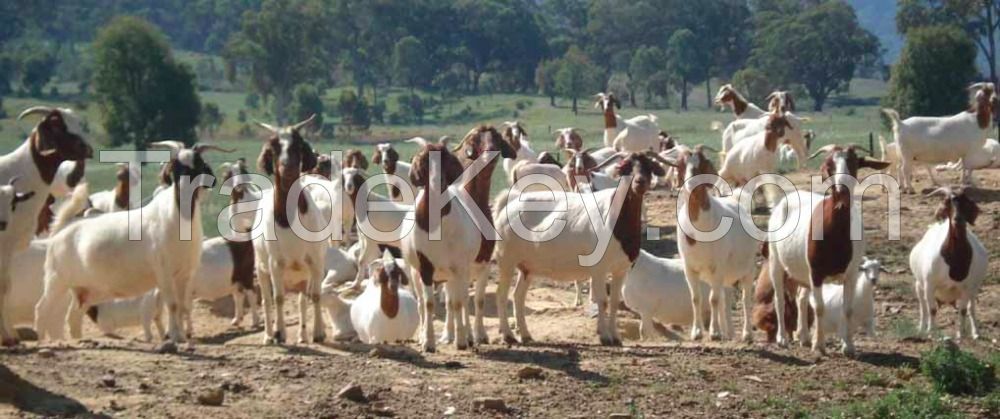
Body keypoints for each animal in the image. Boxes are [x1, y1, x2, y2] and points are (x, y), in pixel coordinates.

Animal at [0, 106, 93, 346]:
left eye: (78, 123)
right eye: (57, 125)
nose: (87, 149)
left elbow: (7, 286)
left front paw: (10, 334)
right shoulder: (5, 241)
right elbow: (4, 285)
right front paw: (7, 337)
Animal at [492, 153, 664, 346]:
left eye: (649, 166)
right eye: (626, 166)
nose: (640, 182)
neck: (617, 220)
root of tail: (508, 203)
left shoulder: (621, 269)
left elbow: (614, 302)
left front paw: (616, 337)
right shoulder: (599, 269)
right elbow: (602, 301)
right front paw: (605, 336)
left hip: (527, 267)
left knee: (518, 296)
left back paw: (526, 334)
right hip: (506, 260)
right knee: (501, 294)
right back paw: (508, 335)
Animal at [764, 144, 892, 354]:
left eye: (853, 162)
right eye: (828, 165)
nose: (841, 189)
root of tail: (784, 200)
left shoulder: (851, 273)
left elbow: (847, 308)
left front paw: (848, 345)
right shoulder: (816, 272)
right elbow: (819, 307)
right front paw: (819, 345)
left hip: (803, 271)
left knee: (801, 298)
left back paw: (804, 337)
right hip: (776, 259)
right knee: (780, 298)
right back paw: (783, 338)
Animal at [912, 189, 988, 340]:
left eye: (966, 203)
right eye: (948, 204)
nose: (957, 220)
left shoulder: (967, 287)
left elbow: (963, 310)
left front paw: (961, 334)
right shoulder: (929, 285)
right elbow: (932, 309)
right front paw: (931, 331)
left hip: (974, 288)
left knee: (971, 308)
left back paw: (976, 332)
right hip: (919, 285)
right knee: (923, 306)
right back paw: (922, 328)